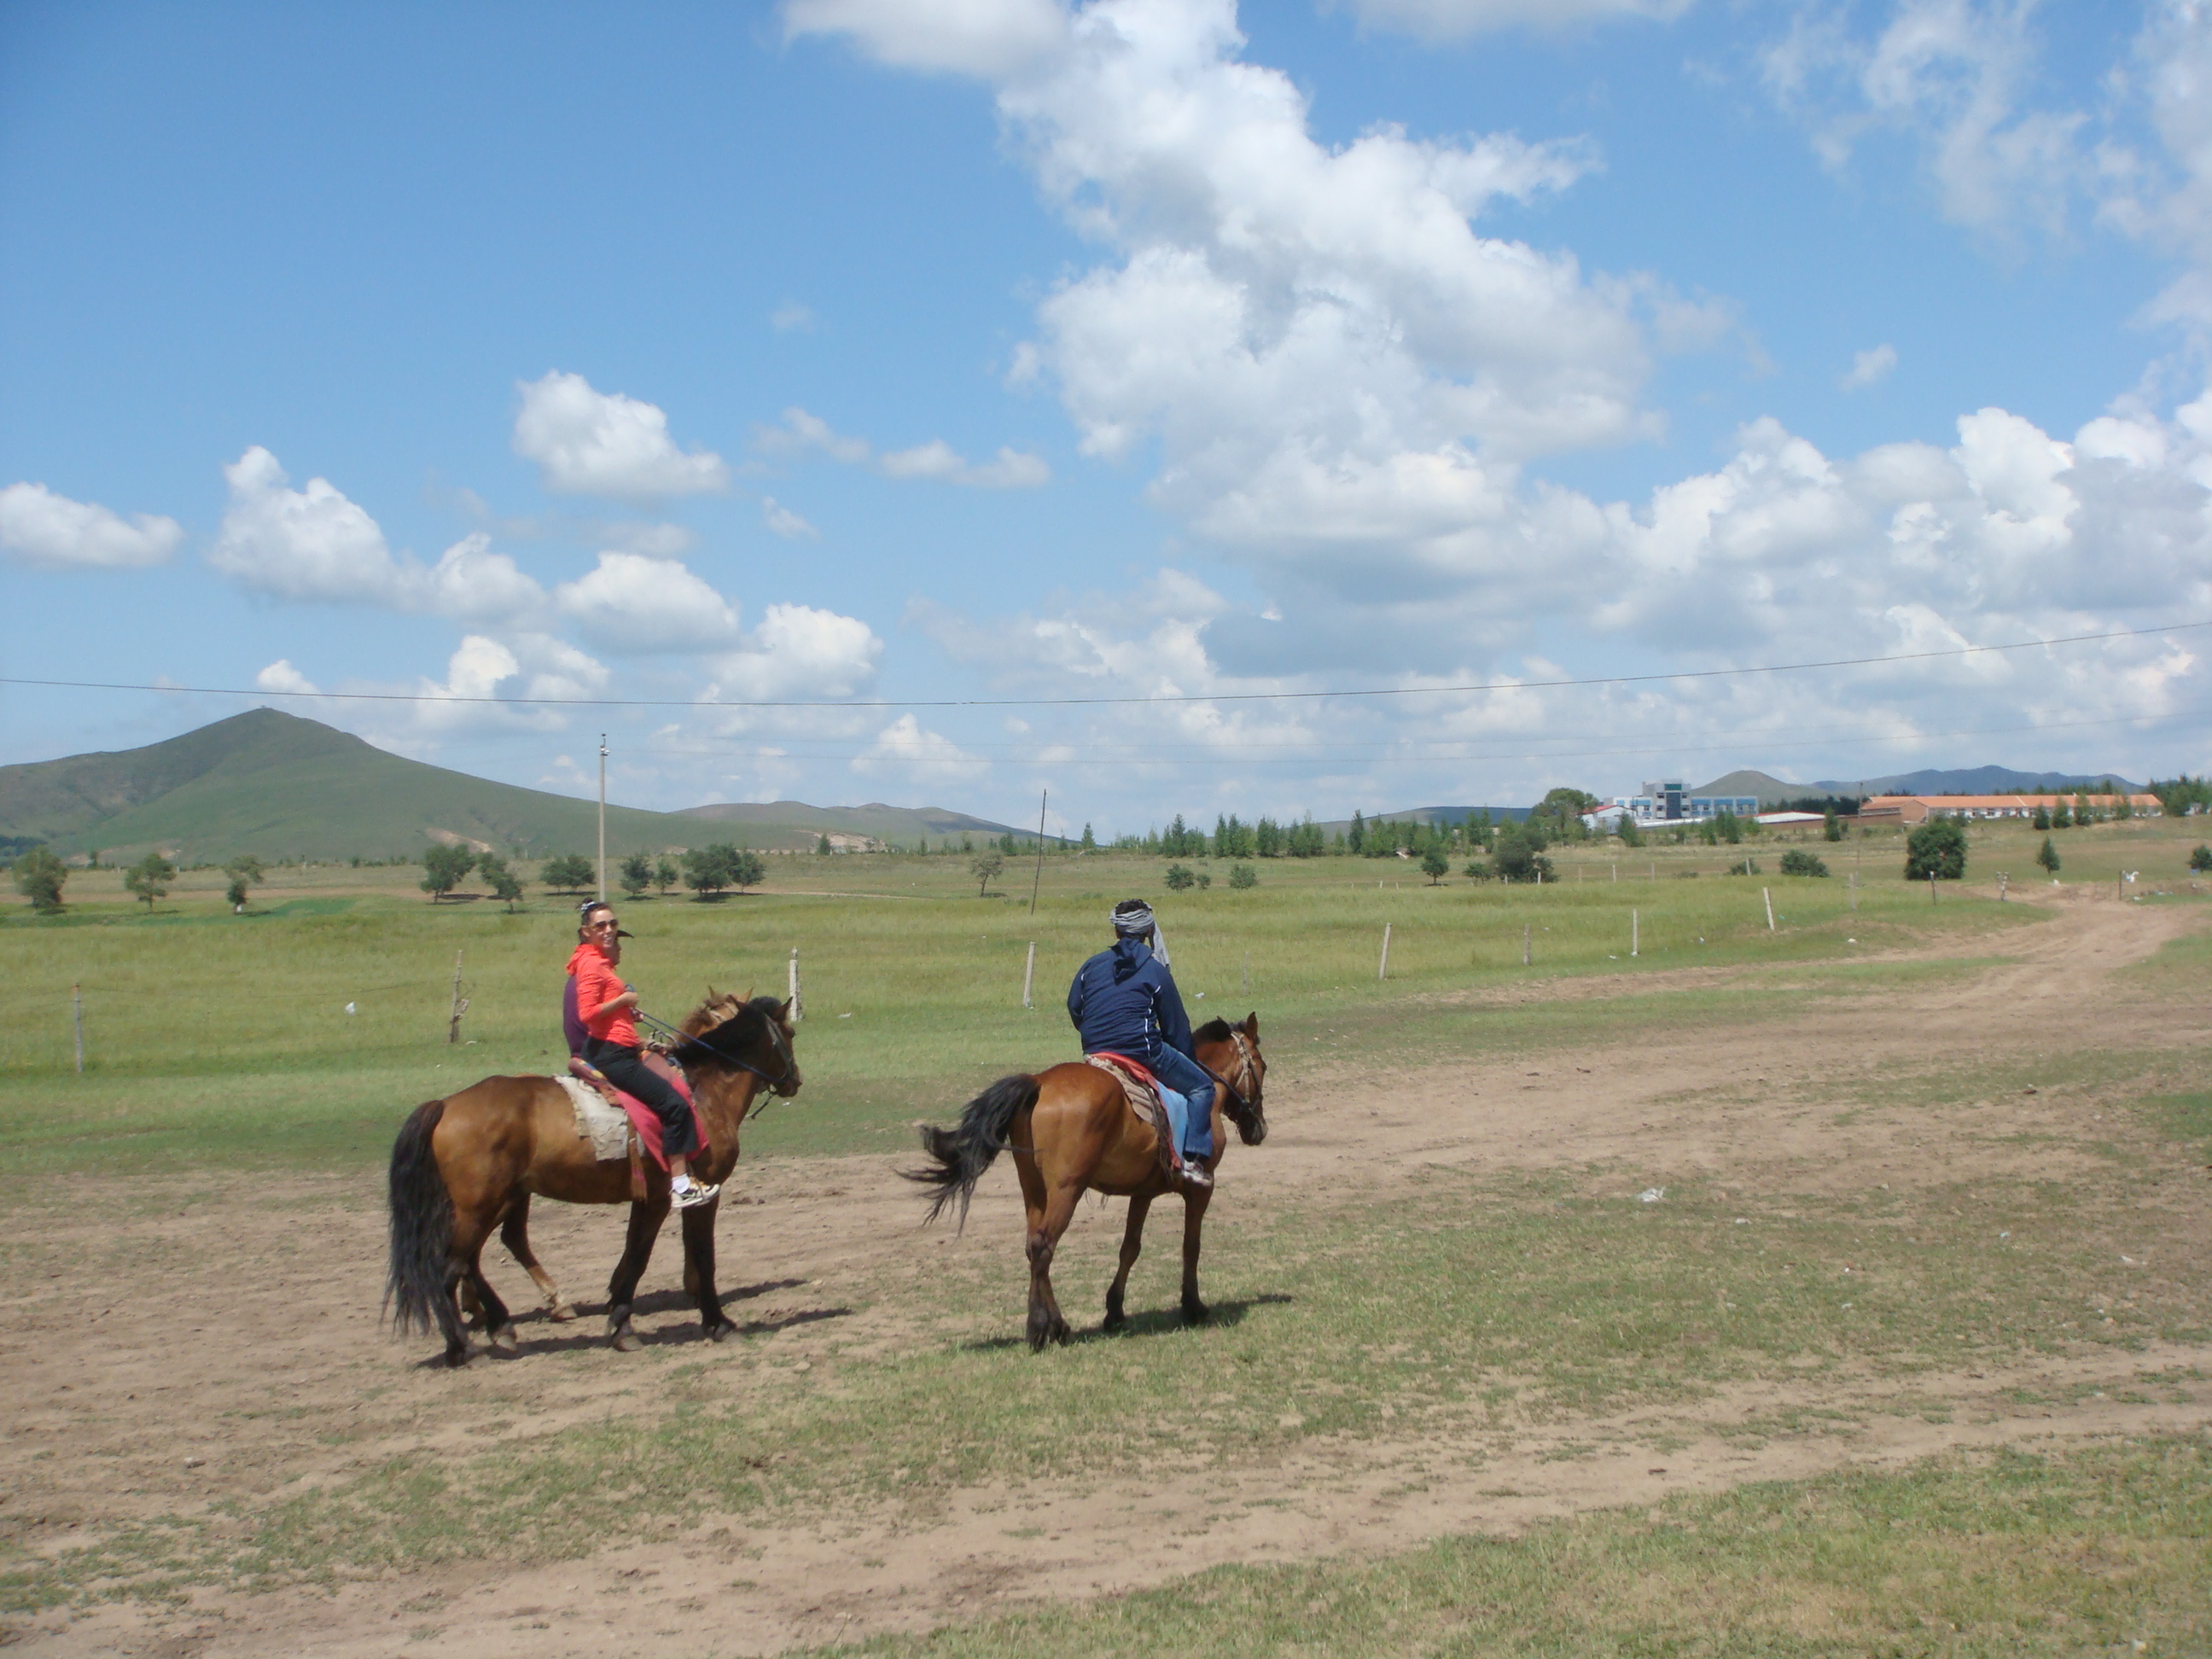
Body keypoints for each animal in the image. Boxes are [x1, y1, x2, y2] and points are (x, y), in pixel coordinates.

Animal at [385, 999, 800, 1362]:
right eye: (791, 1032)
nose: (794, 1080)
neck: (703, 1092)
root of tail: (445, 1105)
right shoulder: (700, 1195)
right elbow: (700, 1256)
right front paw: (717, 1323)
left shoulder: (650, 1200)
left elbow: (634, 1256)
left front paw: (621, 1325)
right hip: (478, 1208)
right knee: (449, 1269)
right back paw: (467, 1346)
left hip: (492, 1204)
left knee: (472, 1260)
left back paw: (496, 1327)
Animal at [906, 1013, 1273, 1353]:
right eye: (1262, 1065)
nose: (1259, 1128)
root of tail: (1039, 1083)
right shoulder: (1201, 1190)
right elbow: (1190, 1246)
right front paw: (1193, 1306)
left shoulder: (1143, 1192)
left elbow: (1130, 1248)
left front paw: (1115, 1311)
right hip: (1066, 1189)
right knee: (1043, 1245)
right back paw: (1043, 1328)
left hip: (1034, 1189)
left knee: (1033, 1247)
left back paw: (1053, 1324)